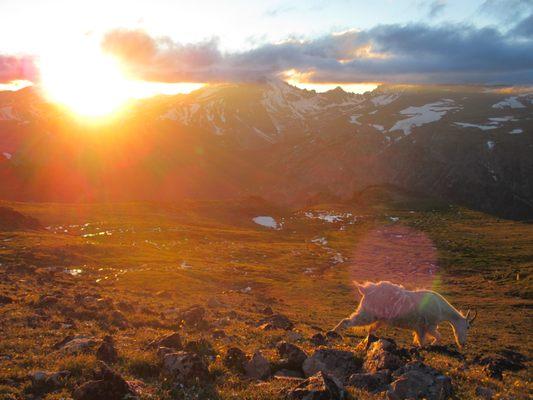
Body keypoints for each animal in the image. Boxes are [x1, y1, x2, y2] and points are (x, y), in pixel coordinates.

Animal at [332, 280, 478, 348]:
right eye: (468, 327)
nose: (463, 344)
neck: (441, 308)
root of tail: (365, 290)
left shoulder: (420, 328)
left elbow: (421, 340)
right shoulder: (429, 326)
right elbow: (438, 337)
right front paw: (430, 345)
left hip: (379, 319)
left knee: (370, 329)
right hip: (367, 314)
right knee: (347, 321)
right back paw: (333, 332)